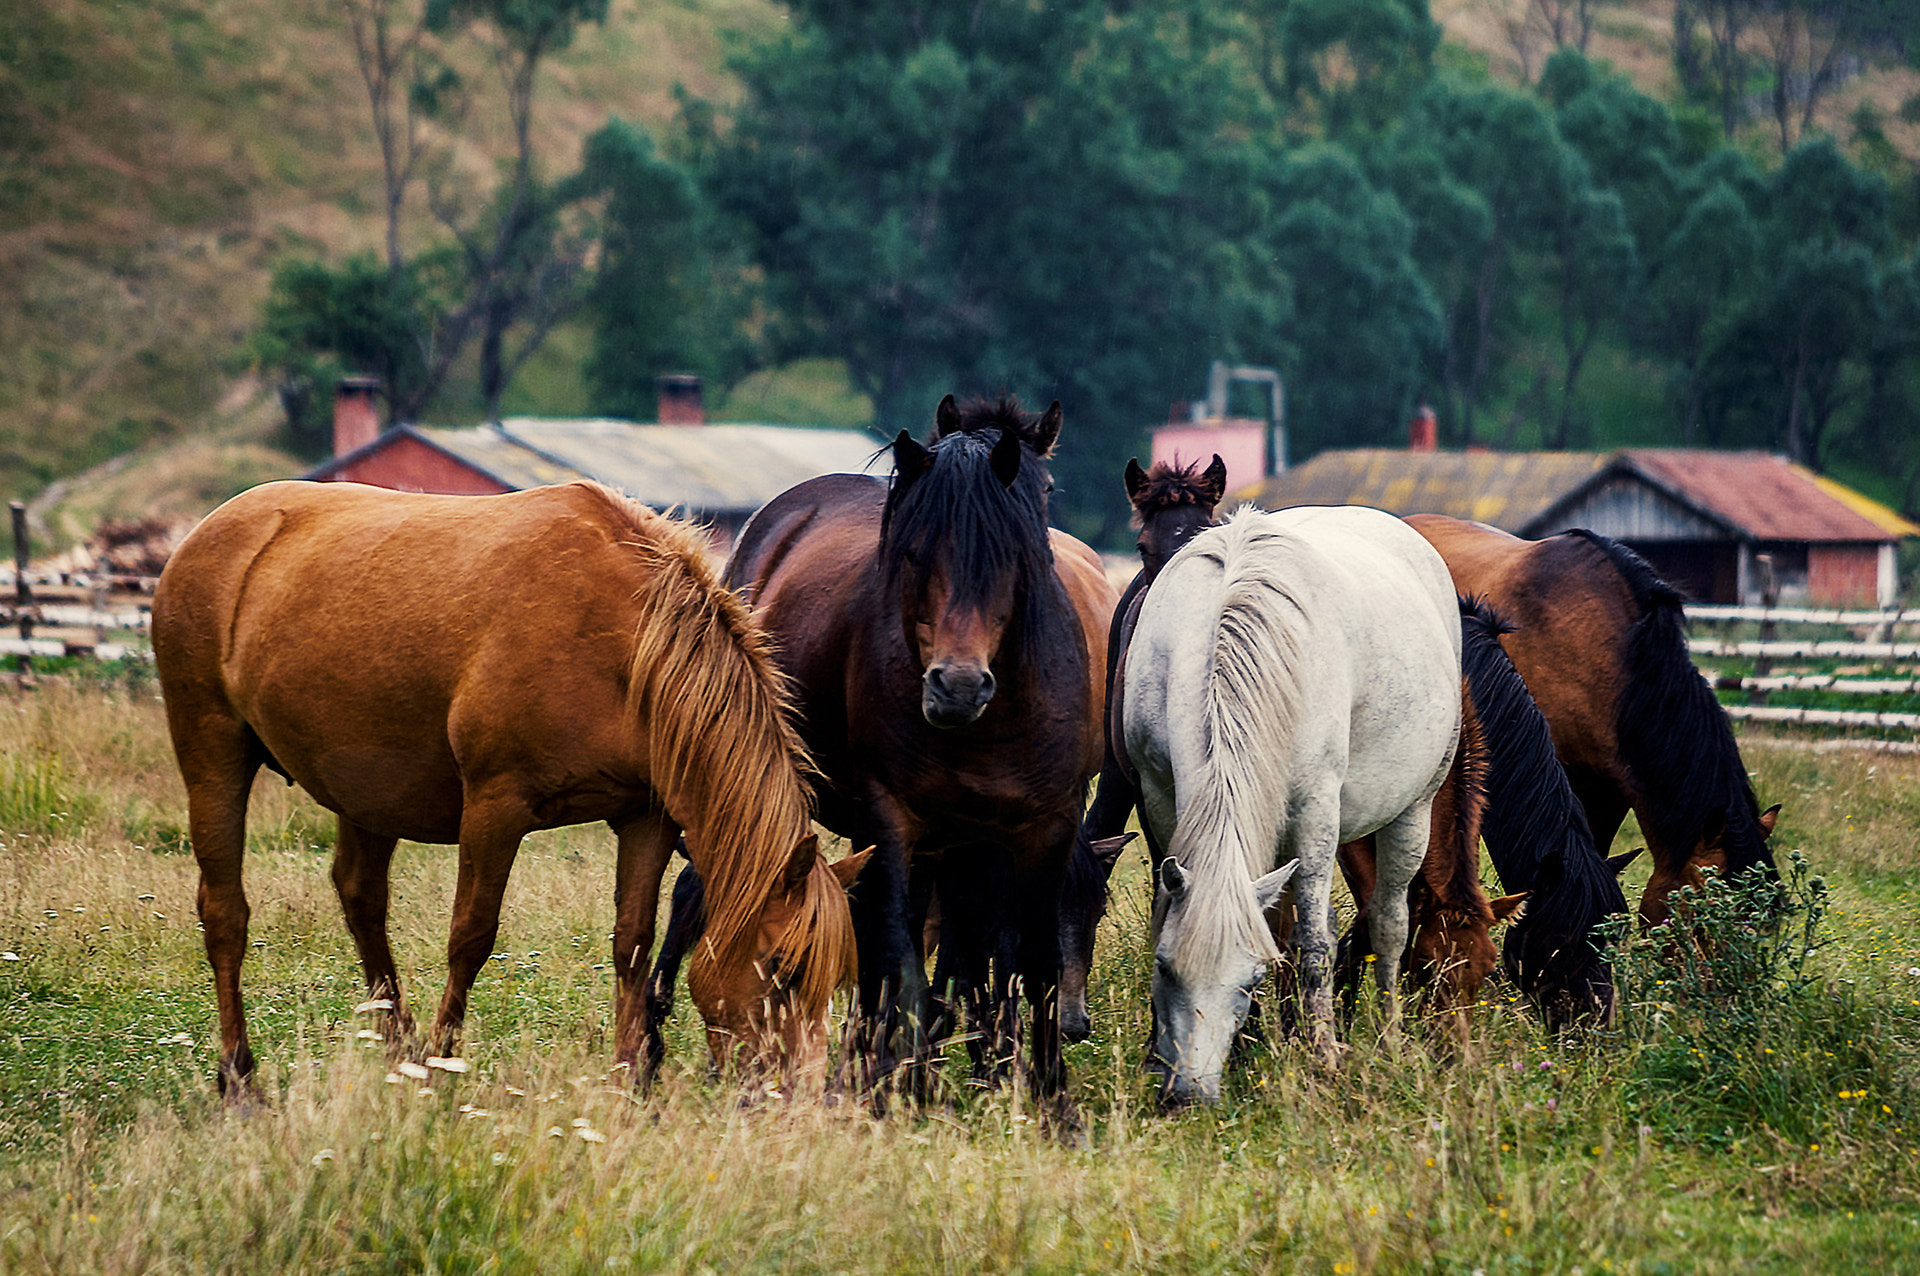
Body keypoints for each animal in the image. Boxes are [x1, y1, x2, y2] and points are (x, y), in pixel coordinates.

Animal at [149, 477, 864, 1097]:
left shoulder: (646, 819)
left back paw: (397, 1049)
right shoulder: (495, 809)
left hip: (366, 791)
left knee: (360, 899)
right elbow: (470, 937)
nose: (797, 1093)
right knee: (225, 913)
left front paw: (629, 1081)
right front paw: (442, 1068)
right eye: (783, 968)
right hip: (211, 753)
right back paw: (240, 1077)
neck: (625, 644)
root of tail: (205, 533)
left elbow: (632, 944)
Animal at [656, 393, 1121, 1112]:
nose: (955, 686)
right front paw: (887, 1090)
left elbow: (1027, 957)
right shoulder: (895, 821)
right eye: (913, 552)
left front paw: (1041, 1097)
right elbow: (899, 955)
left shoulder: (1039, 826)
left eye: (1017, 546)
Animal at [1121, 502, 1459, 1097]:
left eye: (1248, 978)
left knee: (1389, 922)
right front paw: (1161, 1057)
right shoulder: (1160, 796)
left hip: (1412, 812)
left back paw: (1389, 1042)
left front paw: (1323, 1056)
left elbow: (1315, 945)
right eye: (1165, 968)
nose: (1190, 1094)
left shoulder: (1317, 812)